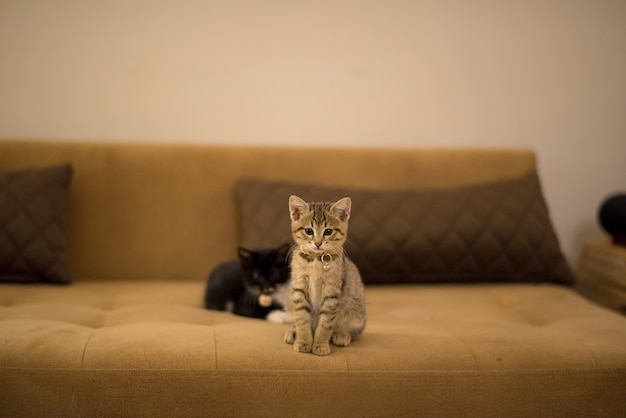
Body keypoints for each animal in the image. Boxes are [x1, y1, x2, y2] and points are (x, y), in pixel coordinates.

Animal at [284, 195, 366, 356]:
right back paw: (293, 332)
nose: (318, 243)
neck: (316, 260)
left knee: (354, 331)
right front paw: (303, 341)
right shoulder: (299, 289)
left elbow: (325, 324)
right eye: (308, 230)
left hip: (356, 311)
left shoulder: (332, 295)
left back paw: (342, 334)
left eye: (328, 231)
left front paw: (320, 344)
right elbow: (302, 319)